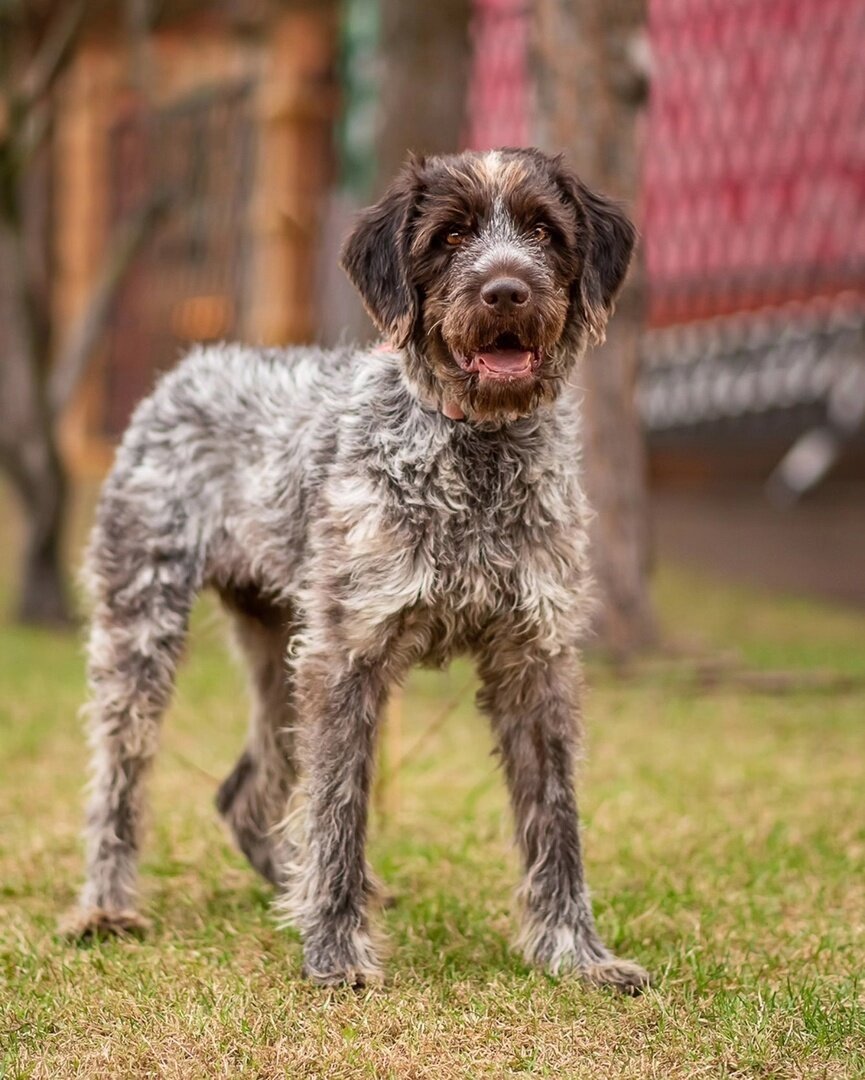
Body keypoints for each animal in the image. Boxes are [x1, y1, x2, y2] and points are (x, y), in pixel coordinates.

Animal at [64, 147, 647, 989]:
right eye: (450, 236)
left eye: (543, 230)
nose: (506, 289)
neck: (477, 456)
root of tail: (191, 366)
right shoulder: (346, 657)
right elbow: (338, 812)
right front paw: (335, 951)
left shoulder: (533, 662)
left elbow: (555, 821)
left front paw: (577, 954)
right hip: (144, 630)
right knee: (122, 777)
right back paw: (107, 908)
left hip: (278, 650)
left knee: (247, 797)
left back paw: (290, 890)